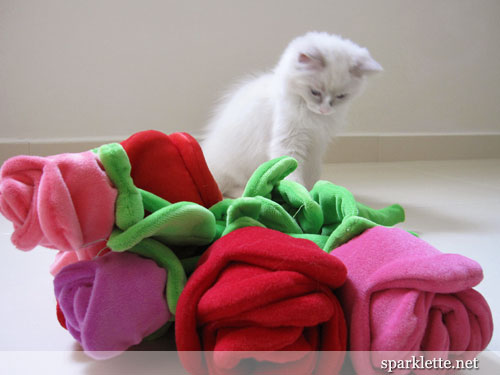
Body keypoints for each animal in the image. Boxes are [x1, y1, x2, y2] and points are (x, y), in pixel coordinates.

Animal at [201, 32, 380, 198]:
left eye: (341, 96)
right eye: (315, 92)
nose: (325, 110)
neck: (313, 117)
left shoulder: (316, 146)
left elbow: (313, 172)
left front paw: (313, 191)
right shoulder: (289, 141)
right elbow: (293, 172)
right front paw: (300, 194)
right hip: (235, 168)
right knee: (229, 187)